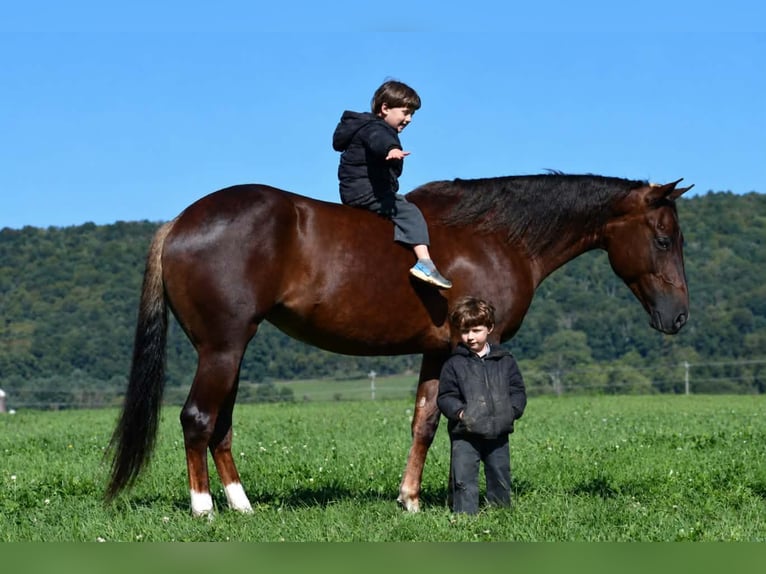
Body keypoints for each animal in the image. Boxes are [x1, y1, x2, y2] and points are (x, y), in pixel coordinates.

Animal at [106, 173, 692, 515]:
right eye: (664, 238)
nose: (679, 316)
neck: (498, 235)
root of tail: (178, 223)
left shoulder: (438, 352)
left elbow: (426, 421)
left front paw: (409, 500)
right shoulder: (474, 346)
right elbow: (471, 418)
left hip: (231, 351)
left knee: (221, 426)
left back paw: (242, 506)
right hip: (222, 349)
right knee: (198, 419)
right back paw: (204, 509)